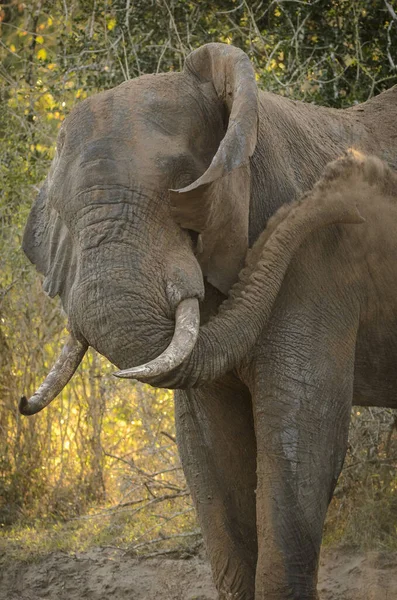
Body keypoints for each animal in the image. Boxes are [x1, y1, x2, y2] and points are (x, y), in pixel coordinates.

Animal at [20, 43, 396, 600]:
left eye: (183, 183)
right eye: (62, 213)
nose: (352, 178)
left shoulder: (319, 268)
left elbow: (300, 442)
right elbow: (209, 448)